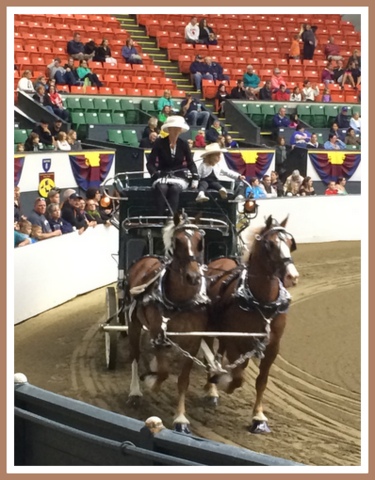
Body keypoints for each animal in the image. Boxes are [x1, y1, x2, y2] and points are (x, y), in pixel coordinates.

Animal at [125, 212, 209, 434]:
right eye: (177, 242)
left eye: (200, 242)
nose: (193, 277)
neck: (180, 302)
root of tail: (148, 258)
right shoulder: (158, 334)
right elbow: (163, 372)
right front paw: (150, 382)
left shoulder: (193, 342)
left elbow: (183, 380)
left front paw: (181, 419)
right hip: (134, 324)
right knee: (135, 356)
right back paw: (135, 391)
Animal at [206, 216, 300, 434]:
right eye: (270, 244)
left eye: (290, 243)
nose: (292, 276)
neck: (261, 302)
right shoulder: (236, 343)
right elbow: (238, 377)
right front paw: (224, 383)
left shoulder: (272, 347)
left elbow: (261, 381)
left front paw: (258, 417)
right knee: (212, 357)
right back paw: (212, 389)